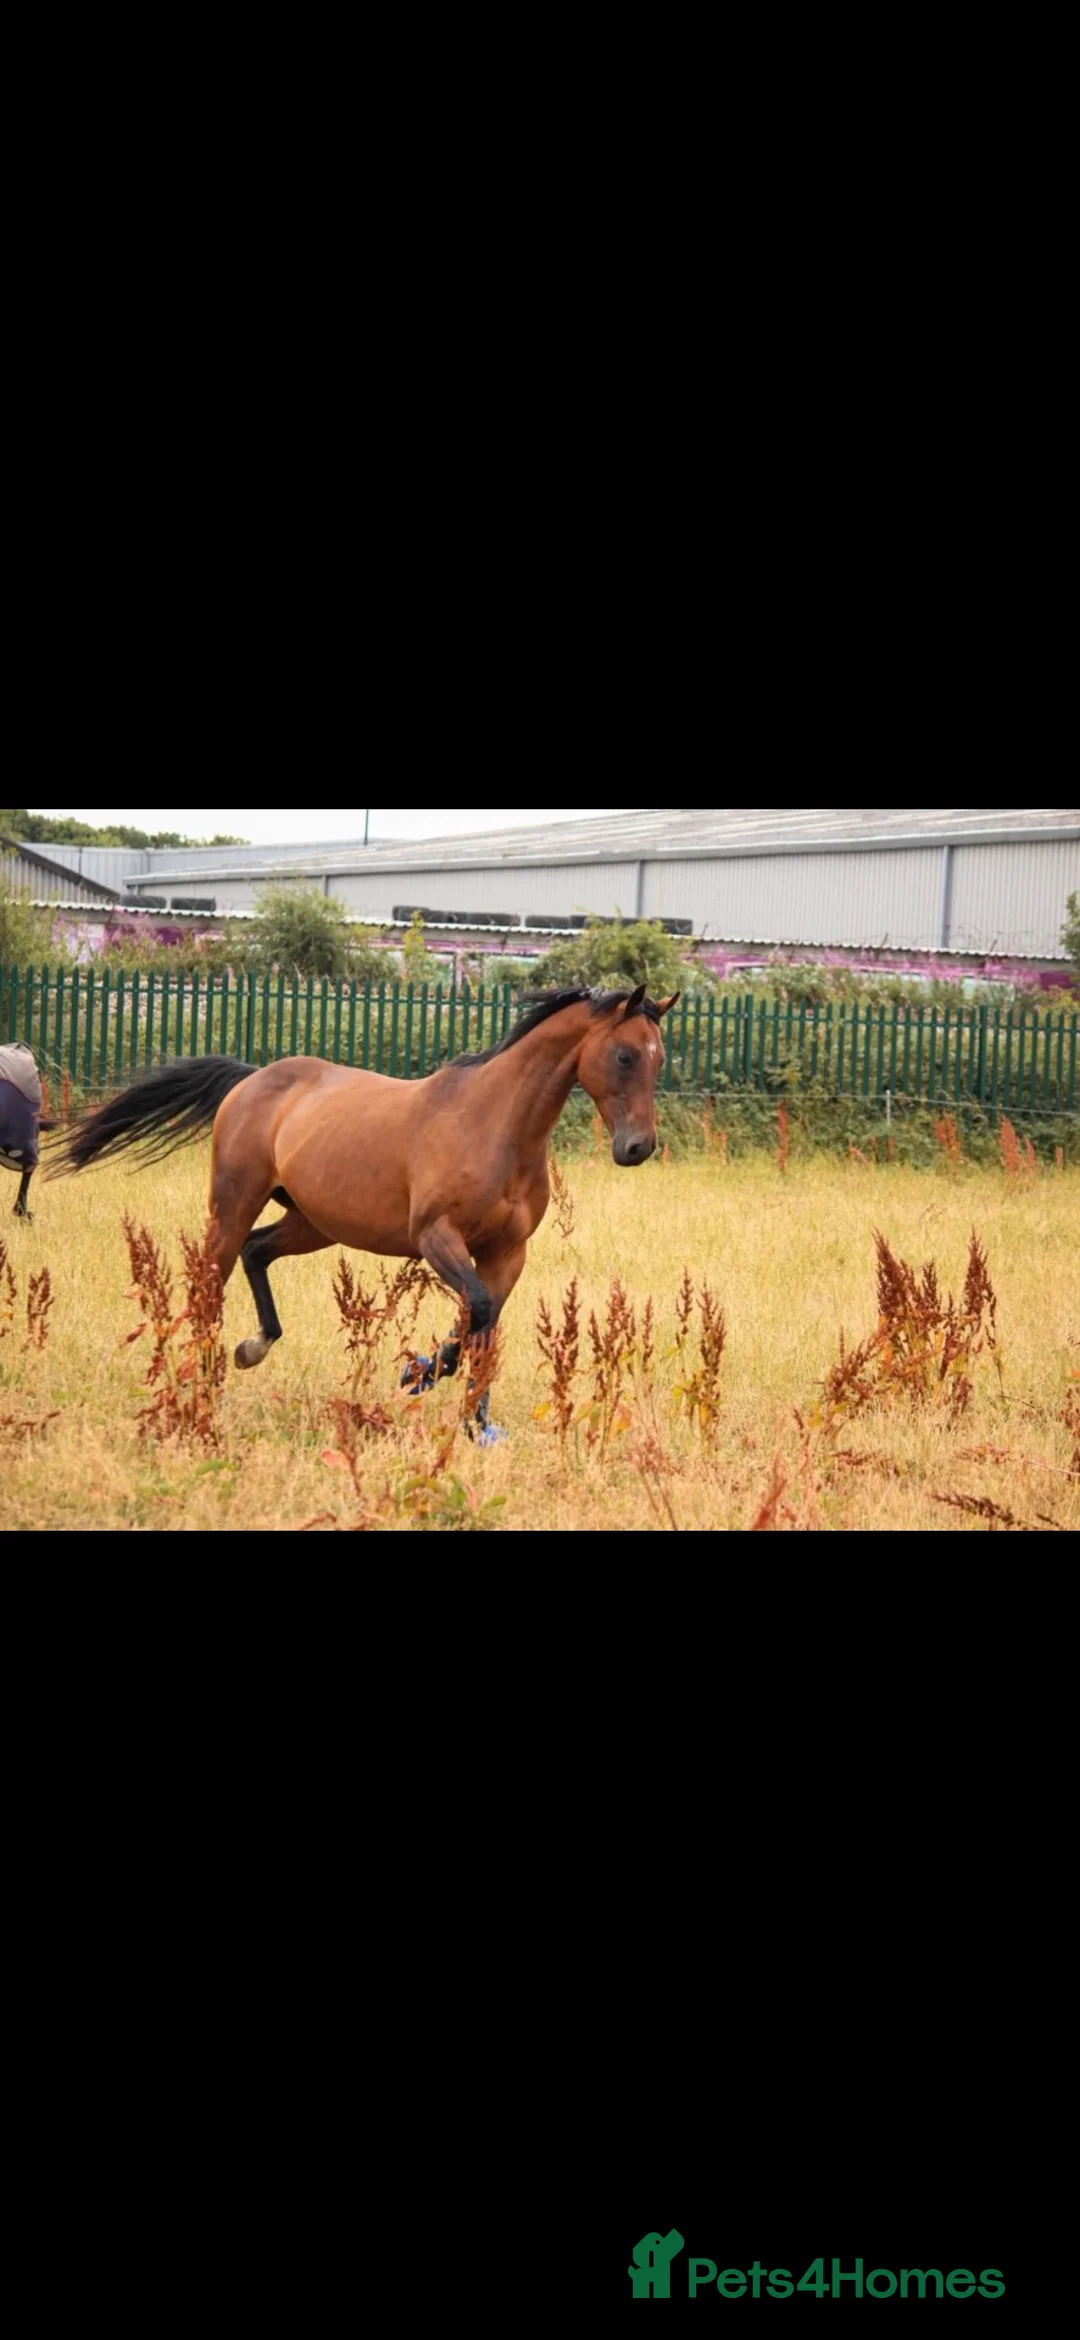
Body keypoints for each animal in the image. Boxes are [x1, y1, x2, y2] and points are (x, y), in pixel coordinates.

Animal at [49, 985, 679, 1384]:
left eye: (659, 1059)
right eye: (625, 1055)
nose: (638, 1148)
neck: (494, 1124)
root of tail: (253, 1079)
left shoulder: (507, 1254)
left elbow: (484, 1327)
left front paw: (466, 1419)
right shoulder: (436, 1238)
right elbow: (475, 1310)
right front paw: (419, 1372)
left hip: (313, 1222)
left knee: (257, 1252)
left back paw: (254, 1346)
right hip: (233, 1204)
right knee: (212, 1277)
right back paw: (205, 1372)